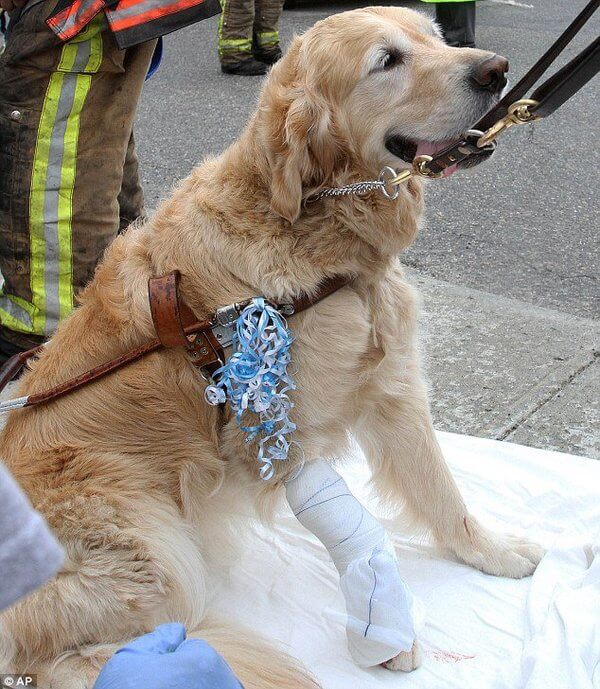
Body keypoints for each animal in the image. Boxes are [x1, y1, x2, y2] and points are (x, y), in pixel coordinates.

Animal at [0, 6, 544, 688]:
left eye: (438, 38)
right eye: (387, 61)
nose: (497, 70)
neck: (314, 223)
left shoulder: (393, 386)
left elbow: (442, 489)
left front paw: (491, 552)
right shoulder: (284, 432)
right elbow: (360, 528)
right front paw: (385, 634)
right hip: (155, 555)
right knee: (63, 658)